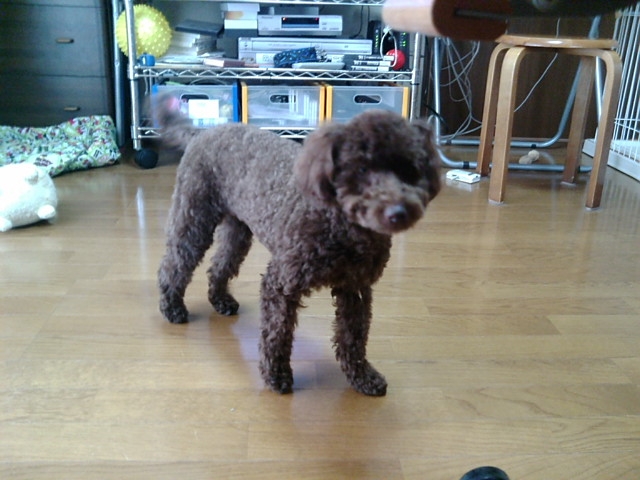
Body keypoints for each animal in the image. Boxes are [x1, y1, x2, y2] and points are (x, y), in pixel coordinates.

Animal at [155, 96, 441, 396]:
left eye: (409, 170)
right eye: (361, 169)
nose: (398, 212)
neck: (343, 225)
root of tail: (203, 132)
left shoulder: (356, 289)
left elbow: (354, 337)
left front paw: (362, 376)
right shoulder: (281, 284)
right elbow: (277, 333)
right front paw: (276, 375)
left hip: (238, 228)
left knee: (221, 263)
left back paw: (220, 299)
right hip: (194, 216)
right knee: (175, 263)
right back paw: (171, 306)